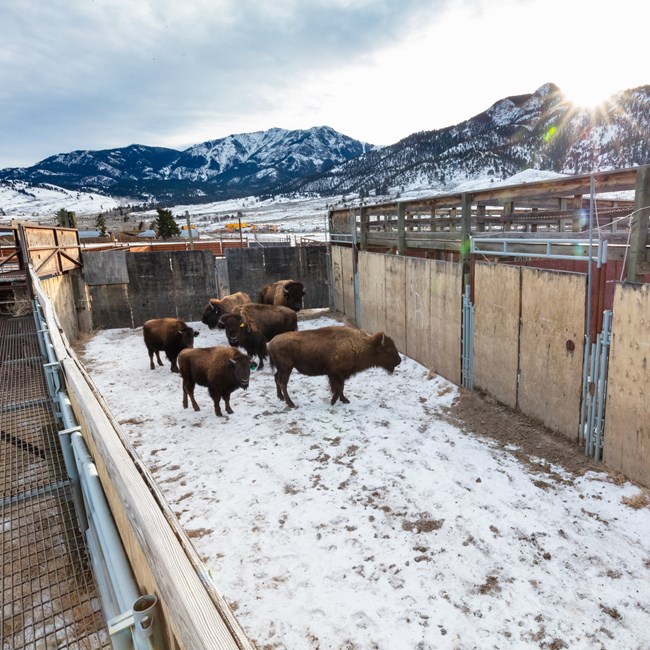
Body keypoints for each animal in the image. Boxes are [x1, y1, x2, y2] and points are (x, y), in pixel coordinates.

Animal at [264, 324, 400, 404]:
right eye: (388, 349)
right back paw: (290, 403)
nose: (399, 360)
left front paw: (344, 400)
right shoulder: (334, 373)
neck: (359, 345)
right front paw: (334, 401)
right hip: (286, 368)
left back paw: (281, 397)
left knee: (276, 378)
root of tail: (270, 343)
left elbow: (341, 387)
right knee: (282, 383)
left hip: (282, 369)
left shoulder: (341, 374)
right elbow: (338, 387)